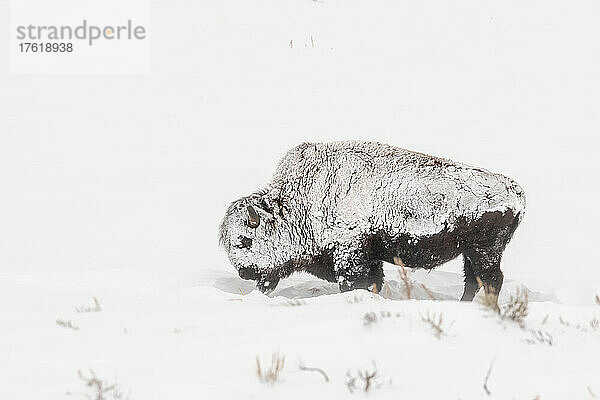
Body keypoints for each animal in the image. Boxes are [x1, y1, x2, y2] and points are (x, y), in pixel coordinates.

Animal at [220, 141, 524, 300]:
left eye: (244, 240)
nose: (244, 272)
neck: (297, 203)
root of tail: (515, 190)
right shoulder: (372, 256)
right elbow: (374, 281)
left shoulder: (350, 252)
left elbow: (353, 282)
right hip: (470, 253)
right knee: (474, 281)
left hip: (484, 252)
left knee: (491, 280)